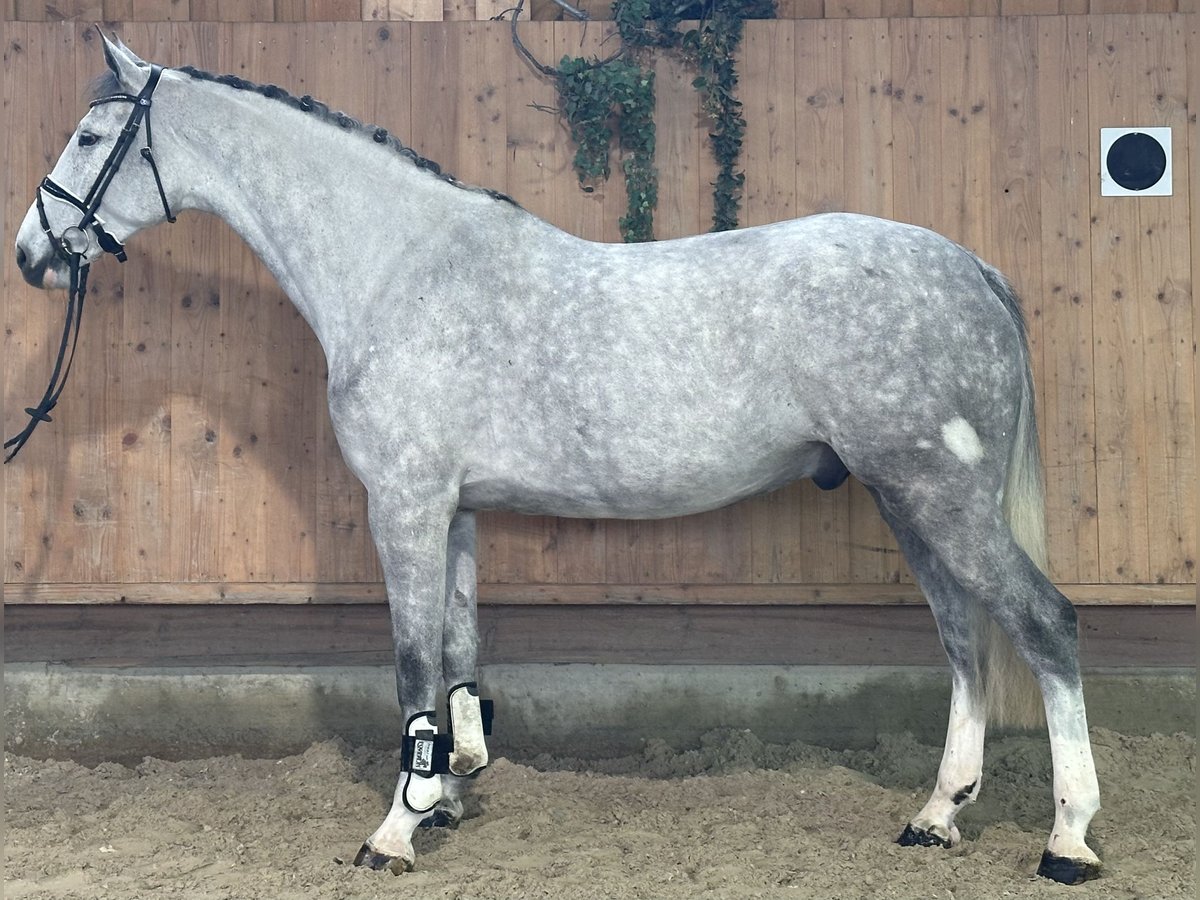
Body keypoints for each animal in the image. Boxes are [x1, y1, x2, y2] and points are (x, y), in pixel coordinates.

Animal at [12, 31, 1102, 884]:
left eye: (89, 137)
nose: (30, 253)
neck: (401, 270)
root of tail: (973, 268)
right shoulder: (453, 509)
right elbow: (457, 653)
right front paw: (446, 797)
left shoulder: (405, 504)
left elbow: (413, 665)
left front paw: (393, 831)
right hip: (908, 497)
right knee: (964, 636)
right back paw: (936, 817)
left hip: (937, 492)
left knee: (1042, 624)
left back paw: (1068, 841)